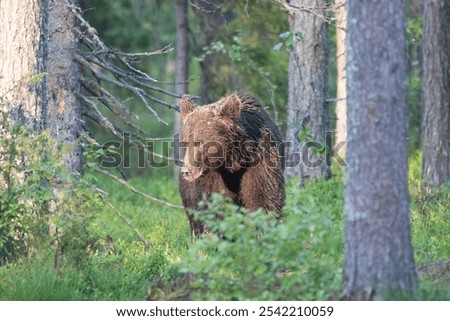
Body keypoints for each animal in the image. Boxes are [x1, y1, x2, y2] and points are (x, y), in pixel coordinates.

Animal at [177, 91, 284, 234]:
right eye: (184, 142)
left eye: (199, 142)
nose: (186, 171)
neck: (233, 161)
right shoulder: (211, 177)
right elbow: (213, 206)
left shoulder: (260, 160)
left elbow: (264, 198)